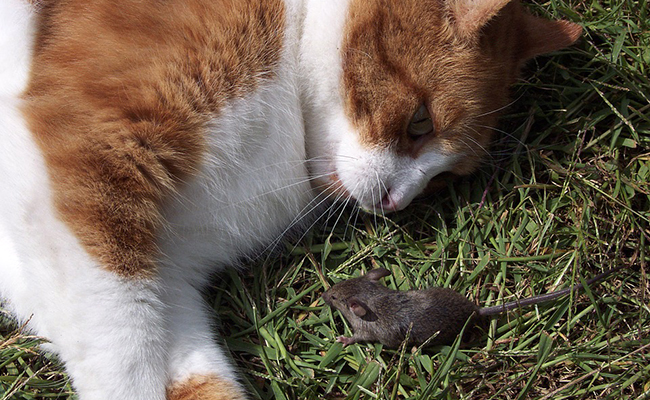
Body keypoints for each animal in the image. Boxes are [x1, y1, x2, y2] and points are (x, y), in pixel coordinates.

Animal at [0, 0, 576, 398]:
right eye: (419, 123)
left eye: (445, 179)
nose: (397, 201)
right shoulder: (91, 144)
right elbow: (124, 356)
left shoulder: (169, 272)